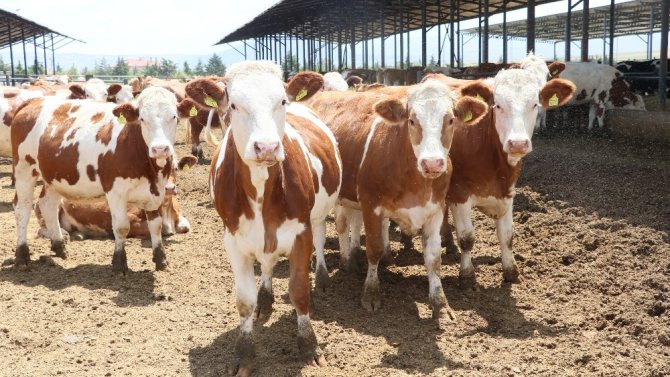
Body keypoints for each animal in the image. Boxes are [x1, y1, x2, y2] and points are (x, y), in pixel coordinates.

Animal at [11, 86, 192, 272]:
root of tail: (33, 102)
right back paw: (22, 255)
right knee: (22, 208)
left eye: (174, 117)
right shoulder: (115, 191)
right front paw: (119, 264)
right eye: (142, 118)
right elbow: (121, 227)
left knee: (48, 205)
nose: (160, 149)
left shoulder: (155, 192)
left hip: (53, 177)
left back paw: (59, 247)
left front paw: (161, 260)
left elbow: (156, 226)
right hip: (24, 169)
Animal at [186, 60, 342, 372]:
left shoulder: (300, 232)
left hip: (318, 216)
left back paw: (321, 277)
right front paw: (244, 353)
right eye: (234, 105)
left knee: (320, 239)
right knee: (268, 264)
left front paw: (309, 345)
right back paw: (266, 298)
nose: (267, 147)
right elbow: (244, 300)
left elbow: (299, 290)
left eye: (281, 101)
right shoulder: (233, 241)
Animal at [312, 75, 494, 314]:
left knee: (346, 224)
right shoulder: (371, 205)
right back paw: (323, 275)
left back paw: (350, 261)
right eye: (412, 120)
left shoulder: (435, 210)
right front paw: (371, 294)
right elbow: (374, 249)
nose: (432, 163)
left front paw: (440, 303)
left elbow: (434, 258)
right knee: (322, 233)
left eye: (450, 120)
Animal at [426, 65, 576, 288]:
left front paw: (511, 271)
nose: (518, 143)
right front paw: (467, 276)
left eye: (534, 104)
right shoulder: (460, 195)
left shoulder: (507, 193)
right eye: (497, 105)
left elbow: (507, 236)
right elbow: (467, 238)